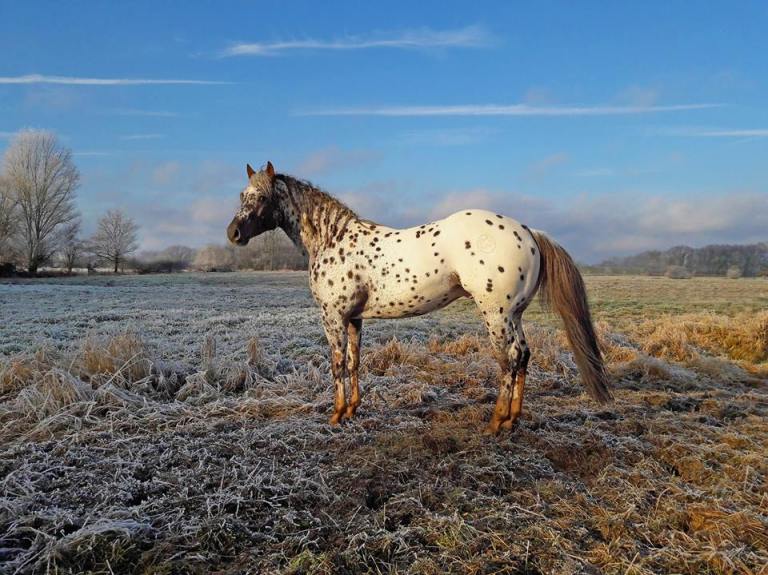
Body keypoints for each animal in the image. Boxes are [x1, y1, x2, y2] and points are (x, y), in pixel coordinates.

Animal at [227, 162, 612, 434]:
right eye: (242, 195)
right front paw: (352, 410)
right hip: (513, 315)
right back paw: (513, 419)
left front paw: (335, 415)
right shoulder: (354, 319)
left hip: (496, 315)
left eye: (261, 197)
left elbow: (336, 365)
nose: (233, 233)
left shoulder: (333, 317)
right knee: (524, 356)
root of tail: (528, 231)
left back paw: (496, 423)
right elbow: (353, 363)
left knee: (509, 360)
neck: (333, 240)